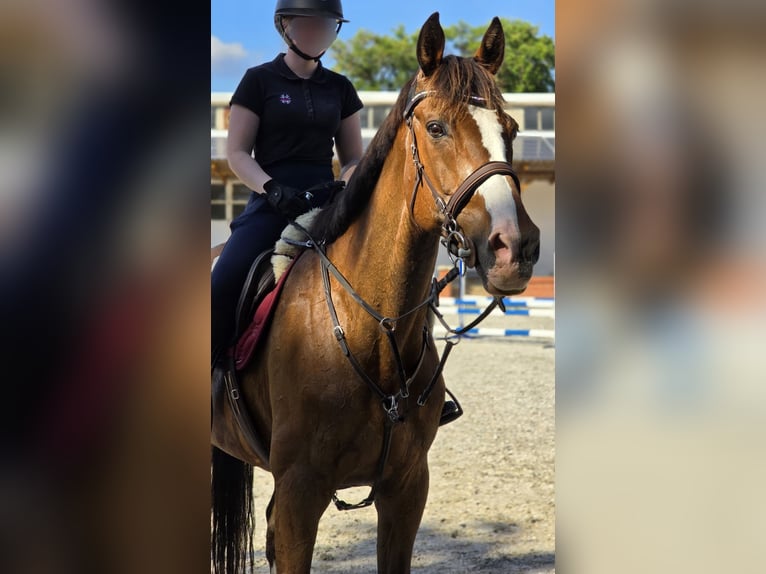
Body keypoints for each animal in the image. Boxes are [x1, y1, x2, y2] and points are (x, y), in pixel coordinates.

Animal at [211, 12, 540, 574]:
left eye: (512, 130)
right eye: (436, 128)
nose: (514, 247)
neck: (368, 325)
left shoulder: (406, 490)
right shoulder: (300, 493)